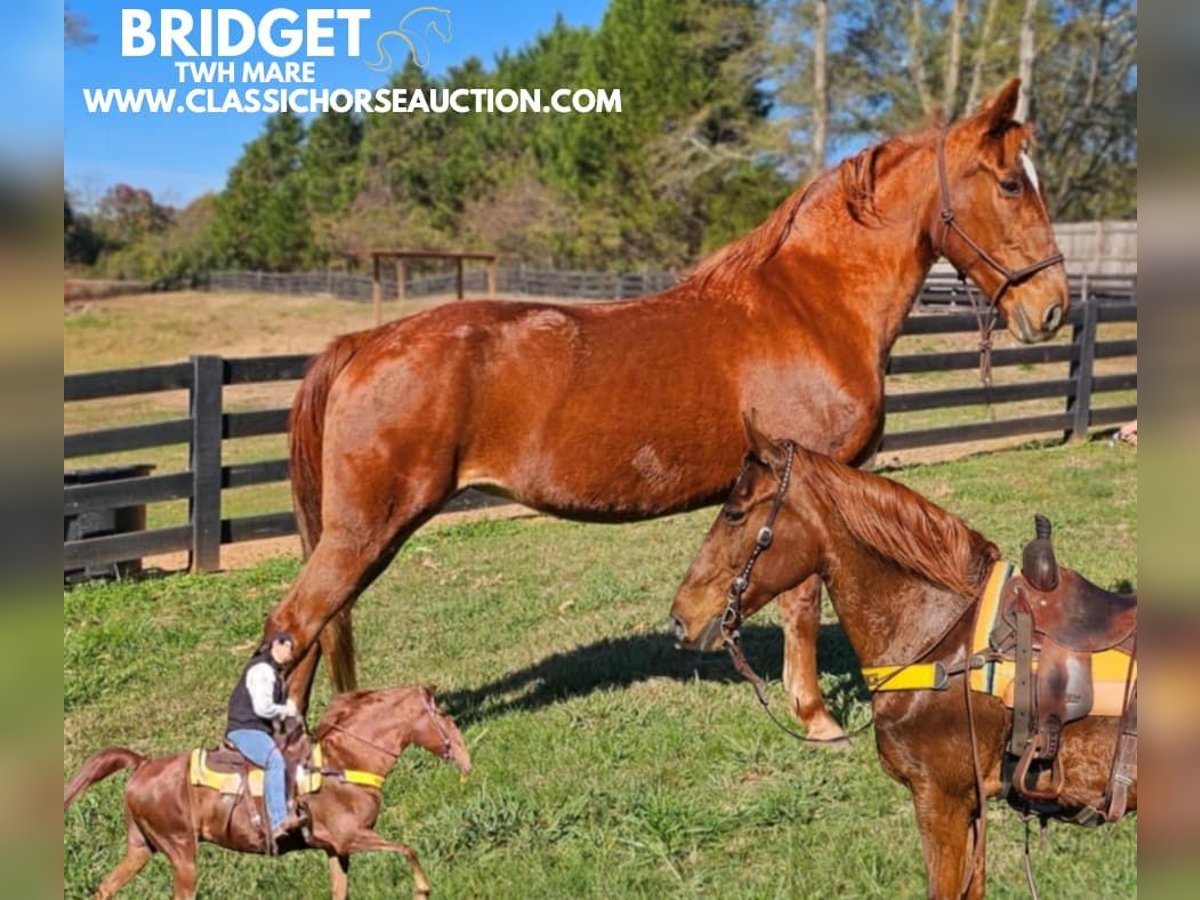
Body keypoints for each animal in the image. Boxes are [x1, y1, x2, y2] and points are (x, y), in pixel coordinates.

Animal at [63, 686, 470, 897]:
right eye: (444, 716)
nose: (467, 761)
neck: (343, 762)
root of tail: (143, 765)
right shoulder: (350, 836)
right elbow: (408, 849)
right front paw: (422, 890)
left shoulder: (336, 849)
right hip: (181, 853)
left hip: (141, 848)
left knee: (105, 889)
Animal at [267, 79, 1065, 739]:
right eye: (1008, 184)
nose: (1052, 308)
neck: (812, 306)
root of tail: (365, 342)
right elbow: (804, 606)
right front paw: (815, 718)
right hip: (364, 532)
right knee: (294, 624)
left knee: (304, 637)